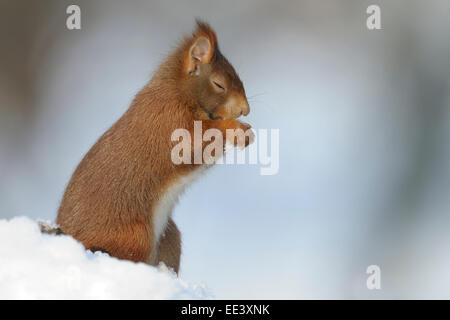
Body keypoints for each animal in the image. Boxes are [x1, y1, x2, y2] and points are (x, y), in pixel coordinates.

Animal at [56, 20, 253, 272]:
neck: (179, 93)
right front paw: (235, 128)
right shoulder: (169, 123)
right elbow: (192, 145)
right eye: (219, 84)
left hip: (169, 238)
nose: (245, 110)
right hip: (135, 235)